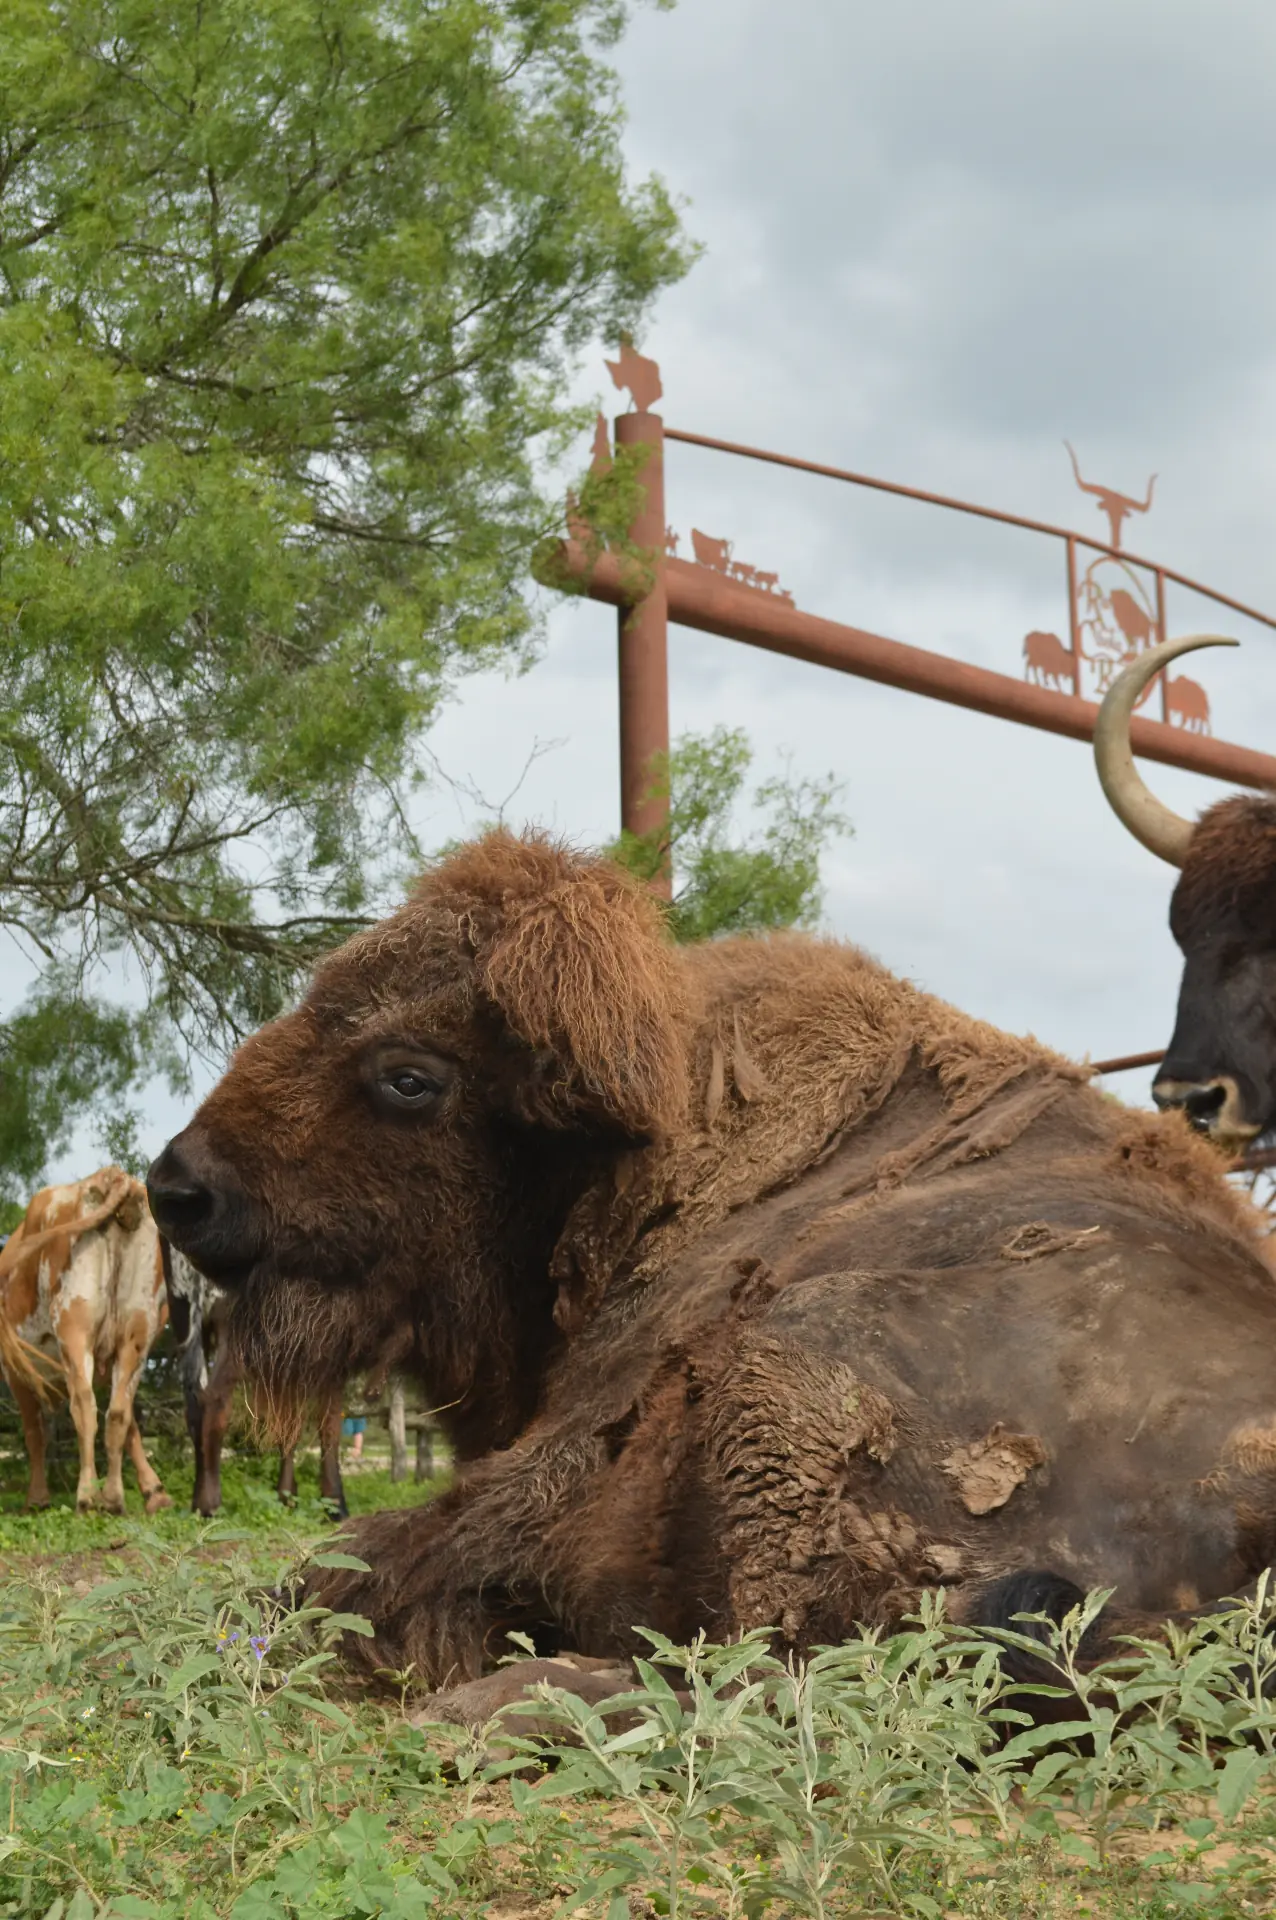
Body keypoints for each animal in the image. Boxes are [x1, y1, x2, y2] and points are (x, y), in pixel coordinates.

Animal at [149, 831, 1276, 1687]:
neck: (632, 1150)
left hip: (795, 1362)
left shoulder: (542, 1471)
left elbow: (328, 1575)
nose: (178, 1188)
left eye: (409, 1078)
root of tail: (1252, 1504)